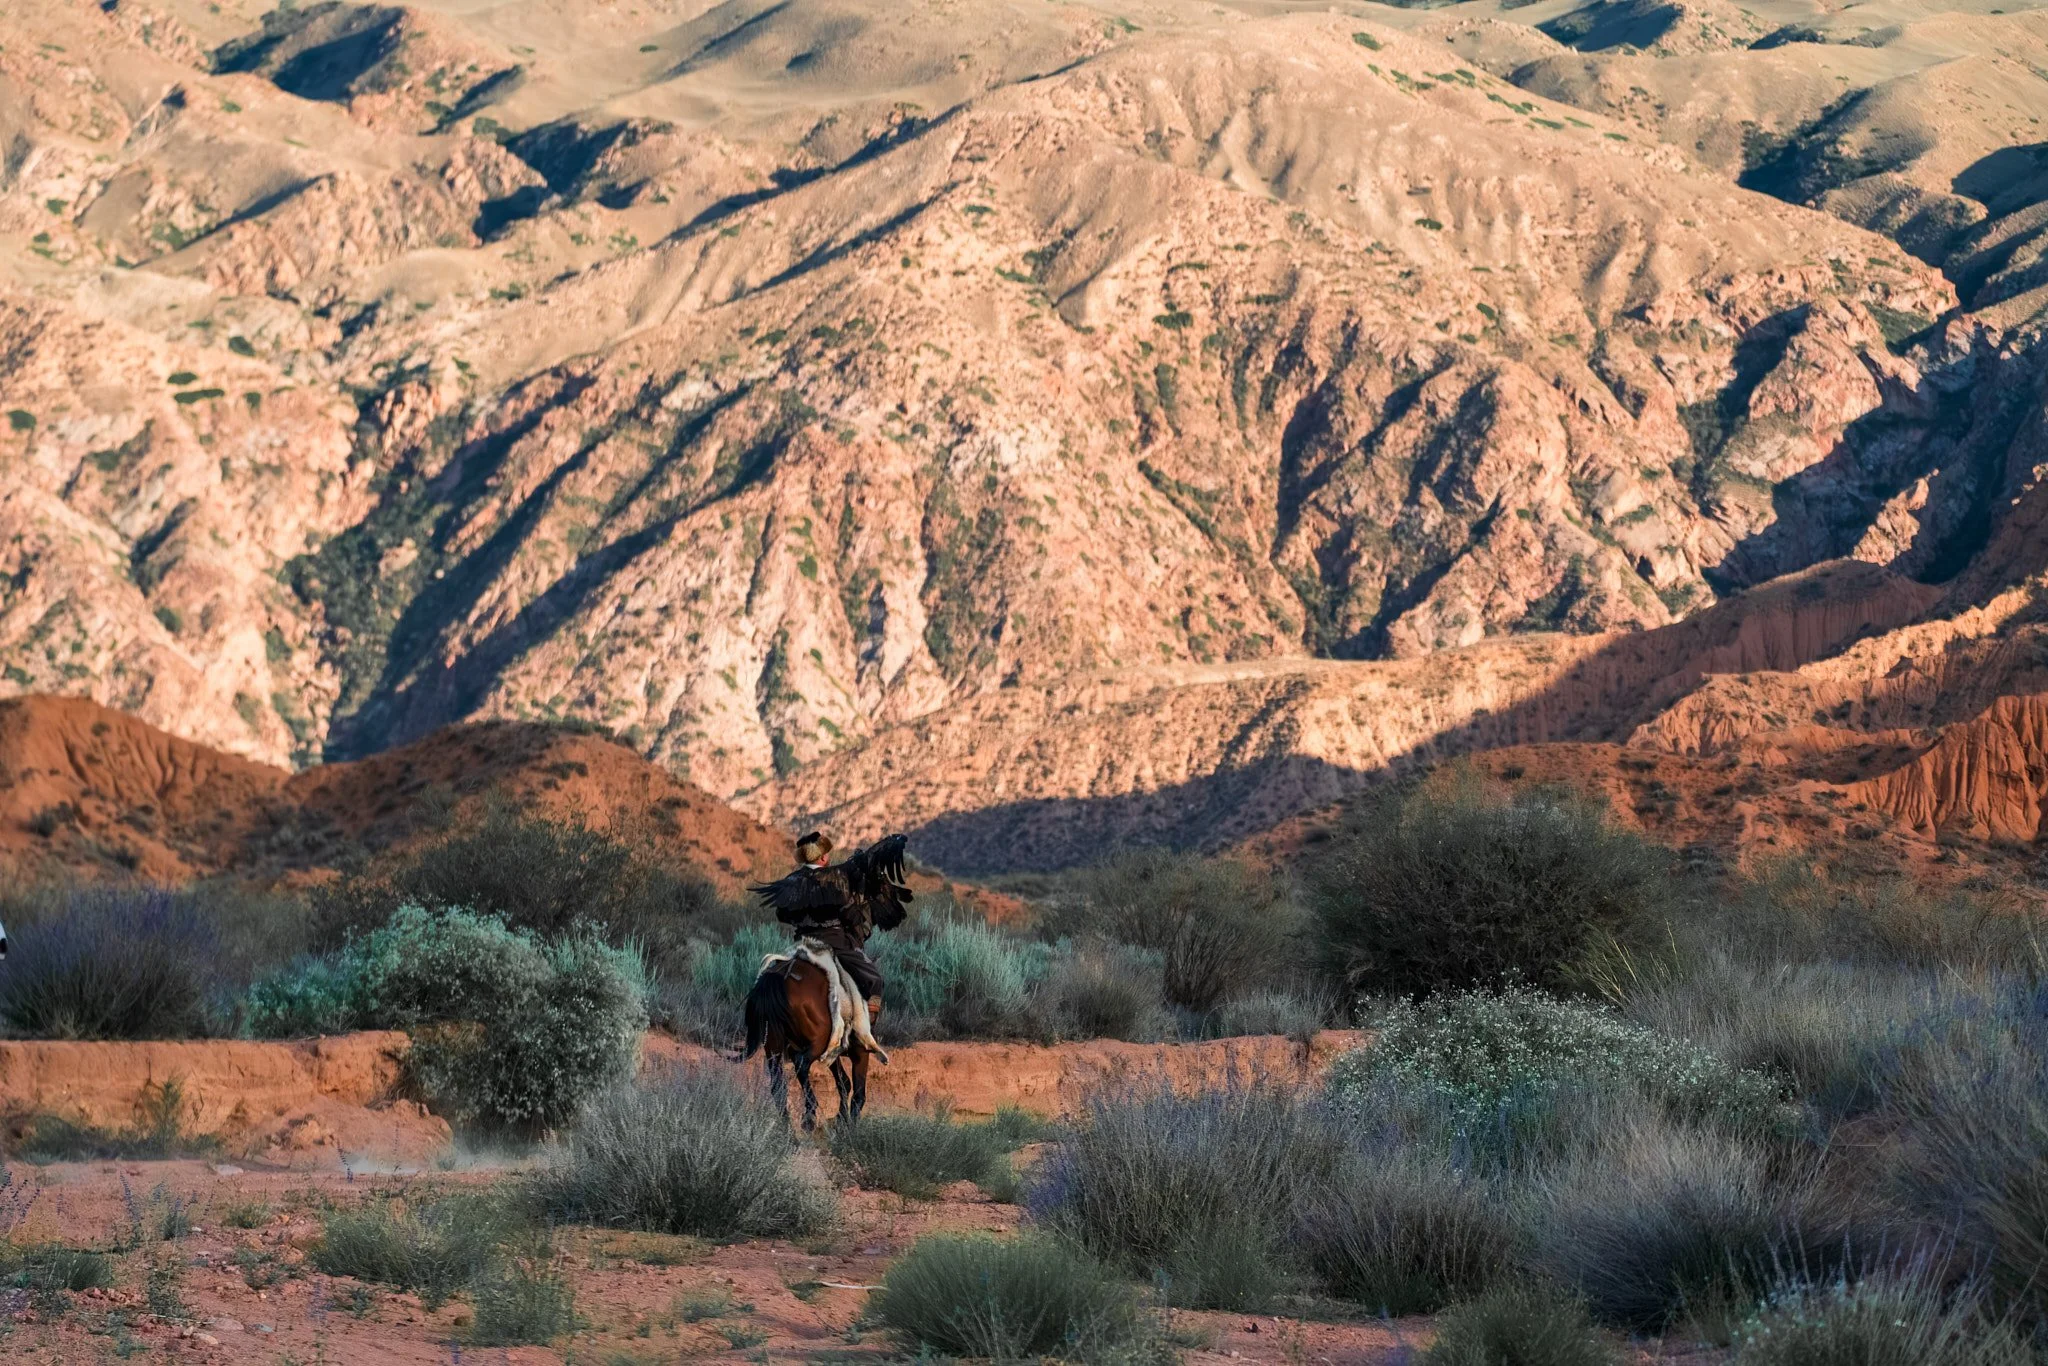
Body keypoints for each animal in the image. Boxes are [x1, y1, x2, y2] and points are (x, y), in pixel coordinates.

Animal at [739, 952, 878, 1130]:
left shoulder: (833, 1050)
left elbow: (843, 1082)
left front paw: (841, 1118)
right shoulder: (860, 1050)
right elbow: (858, 1092)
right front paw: (848, 1125)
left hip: (773, 1045)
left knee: (778, 1084)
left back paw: (788, 1127)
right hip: (817, 1042)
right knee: (801, 1064)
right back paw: (809, 1115)